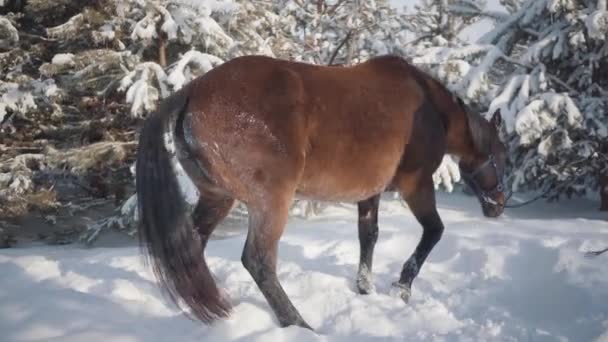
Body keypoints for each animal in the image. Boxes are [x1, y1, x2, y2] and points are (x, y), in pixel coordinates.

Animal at [135, 54, 506, 330]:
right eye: (501, 156)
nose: (499, 206)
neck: (429, 107)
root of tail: (193, 90)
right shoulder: (417, 185)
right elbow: (433, 232)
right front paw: (401, 289)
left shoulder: (368, 192)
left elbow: (368, 236)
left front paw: (365, 288)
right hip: (271, 202)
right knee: (258, 261)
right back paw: (298, 323)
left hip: (217, 197)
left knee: (192, 248)